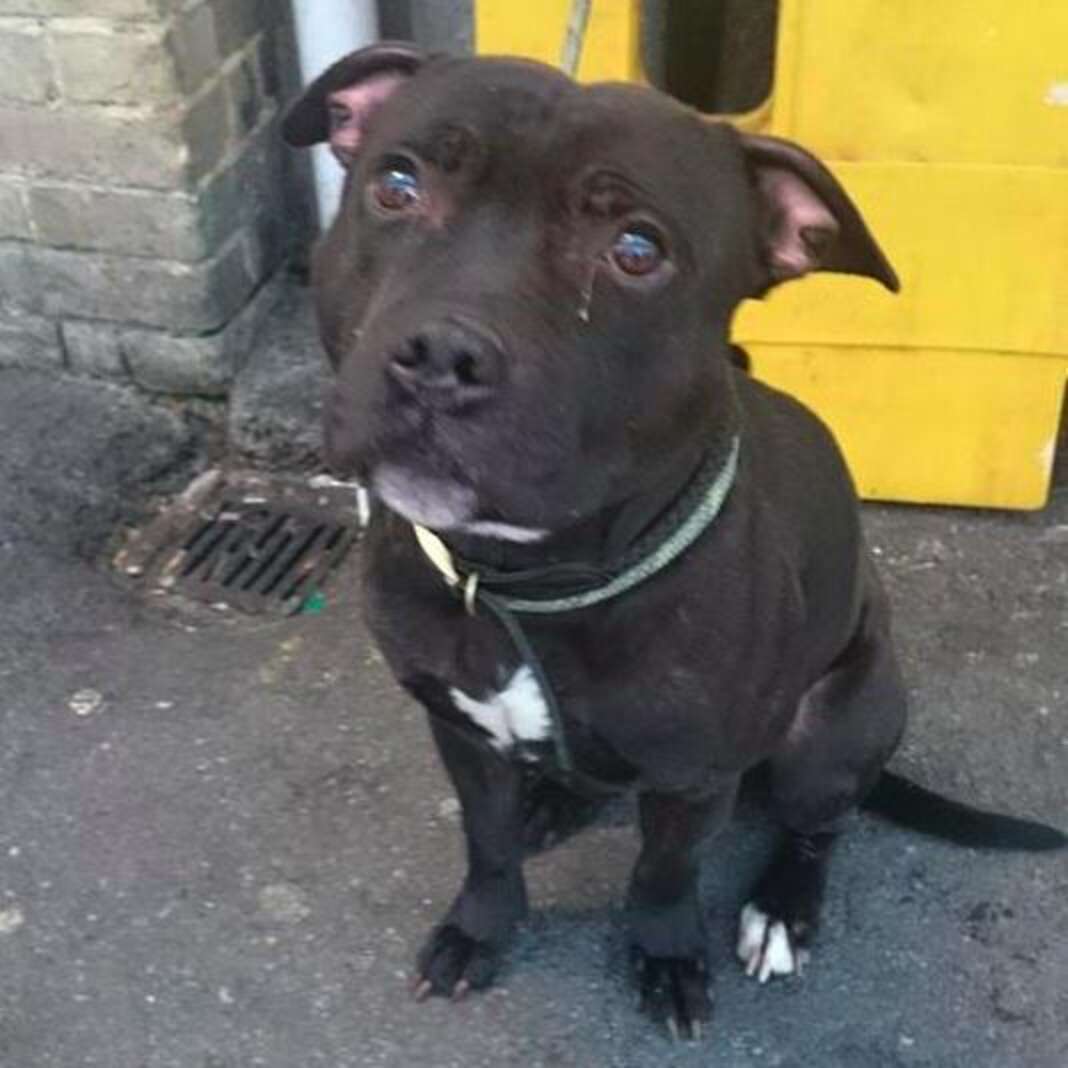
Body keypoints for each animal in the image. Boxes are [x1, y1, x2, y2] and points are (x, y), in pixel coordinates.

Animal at [281, 45, 1059, 1038]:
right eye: (397, 185)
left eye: (637, 251)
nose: (441, 358)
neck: (528, 576)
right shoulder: (458, 730)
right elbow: (486, 843)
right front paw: (481, 927)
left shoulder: (695, 779)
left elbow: (663, 874)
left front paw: (665, 956)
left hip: (831, 732)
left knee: (818, 827)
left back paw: (783, 908)